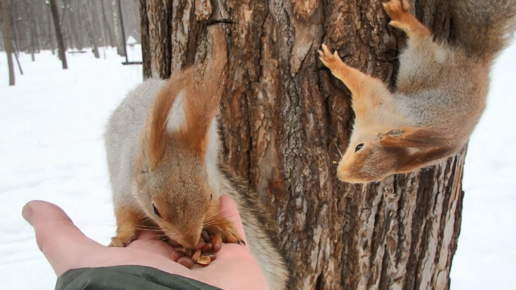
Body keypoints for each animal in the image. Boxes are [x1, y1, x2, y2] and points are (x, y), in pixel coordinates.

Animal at [104, 25, 290, 290]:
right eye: (155, 209)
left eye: (210, 196)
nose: (191, 243)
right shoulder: (123, 190)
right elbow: (125, 218)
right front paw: (120, 238)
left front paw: (221, 225)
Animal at [318, 0, 516, 182]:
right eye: (358, 147)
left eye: (374, 180)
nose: (341, 175)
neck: (380, 125)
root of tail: (475, 61)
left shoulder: (374, 103)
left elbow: (363, 82)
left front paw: (334, 64)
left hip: (420, 66)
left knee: (422, 36)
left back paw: (402, 17)